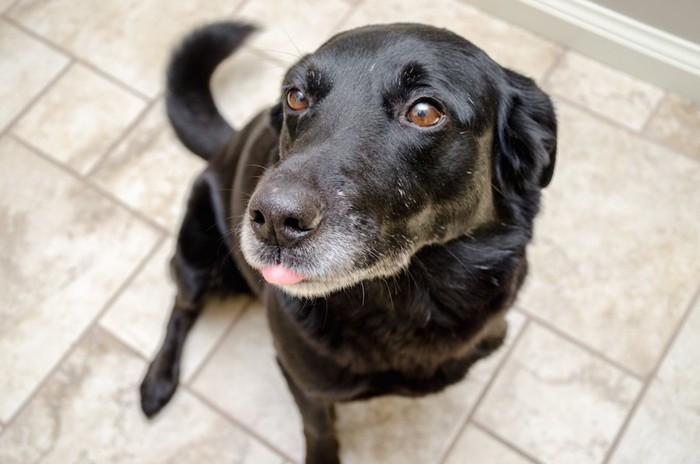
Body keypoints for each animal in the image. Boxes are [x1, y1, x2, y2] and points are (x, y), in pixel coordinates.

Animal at [141, 21, 556, 464]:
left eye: (424, 111)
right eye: (296, 96)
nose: (273, 219)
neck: (407, 297)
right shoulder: (304, 383)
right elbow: (319, 429)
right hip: (196, 257)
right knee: (181, 308)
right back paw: (157, 381)